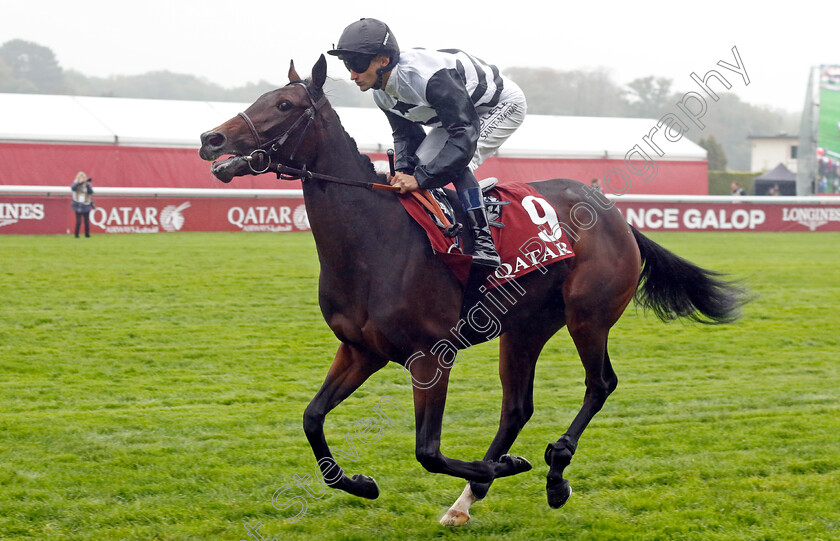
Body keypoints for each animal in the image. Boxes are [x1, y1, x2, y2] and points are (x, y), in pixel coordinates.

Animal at [200, 57, 744, 524]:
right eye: (261, 97)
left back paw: (554, 471)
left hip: (587, 316)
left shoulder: (429, 356)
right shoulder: (359, 349)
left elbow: (428, 451)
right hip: (524, 329)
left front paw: (508, 466)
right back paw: (470, 499)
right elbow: (312, 418)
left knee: (600, 384)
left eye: (284, 105)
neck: (372, 242)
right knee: (517, 408)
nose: (211, 137)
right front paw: (361, 483)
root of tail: (615, 214)